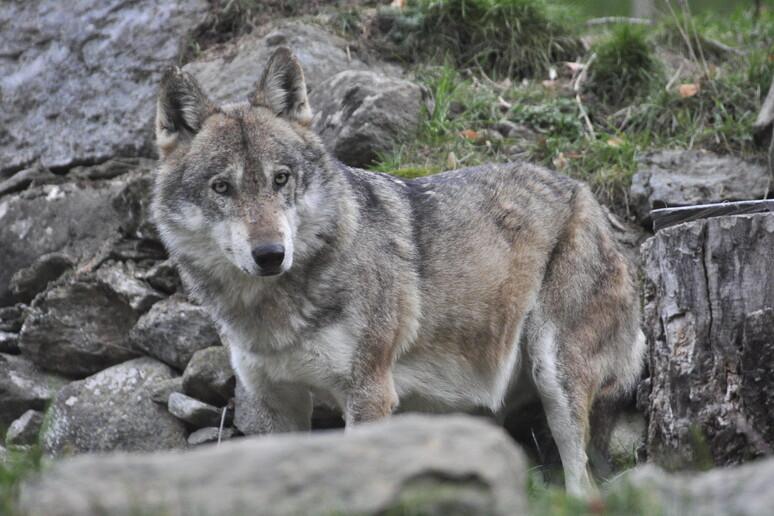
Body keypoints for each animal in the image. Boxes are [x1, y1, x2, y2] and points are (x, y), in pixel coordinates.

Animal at [153, 48, 648, 496]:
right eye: (222, 187)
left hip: (555, 376)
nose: (271, 254)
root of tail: (583, 192)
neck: (274, 311)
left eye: (281, 178)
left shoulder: (369, 395)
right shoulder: (276, 403)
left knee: (583, 481)